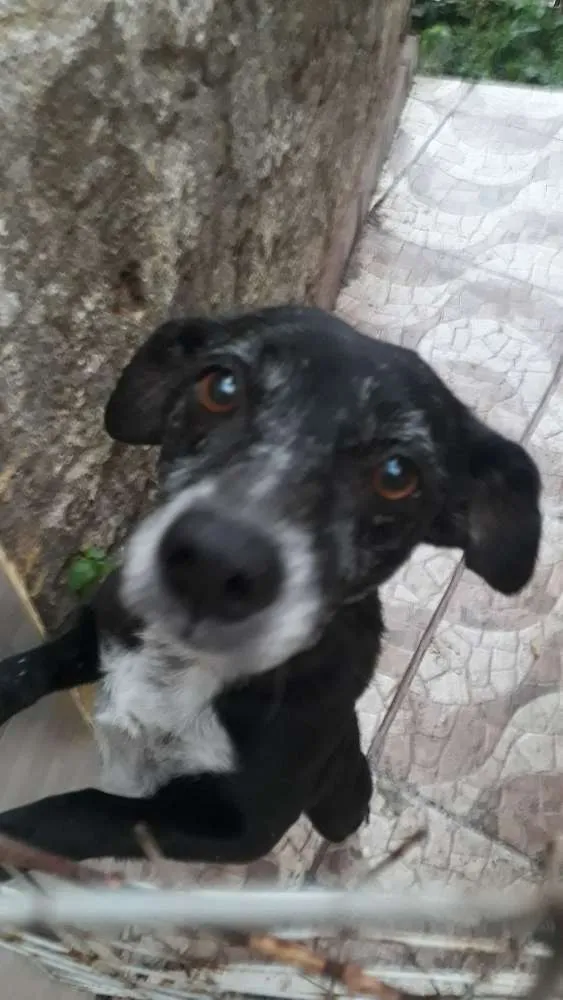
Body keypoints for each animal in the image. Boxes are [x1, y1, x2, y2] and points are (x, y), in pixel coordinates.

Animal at [0, 306, 541, 863]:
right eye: (220, 386)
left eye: (397, 474)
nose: (214, 562)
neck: (184, 666)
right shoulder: (100, 629)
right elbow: (26, 669)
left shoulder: (244, 827)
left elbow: (81, 810)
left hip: (341, 804)